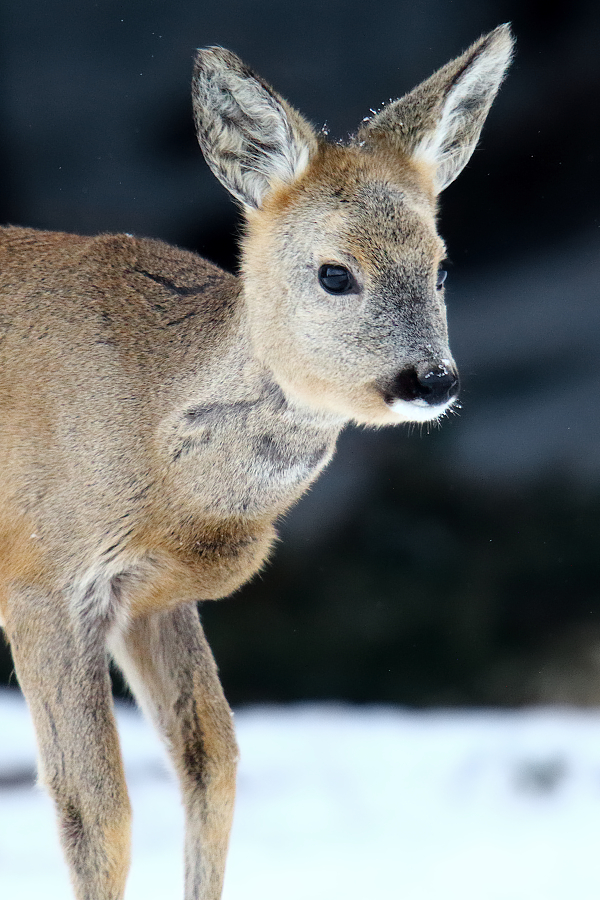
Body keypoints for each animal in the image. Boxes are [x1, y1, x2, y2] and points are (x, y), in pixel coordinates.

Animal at [1, 24, 510, 900]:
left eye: (442, 265)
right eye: (335, 273)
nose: (433, 379)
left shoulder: (152, 598)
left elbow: (213, 767)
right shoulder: (43, 577)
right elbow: (95, 812)